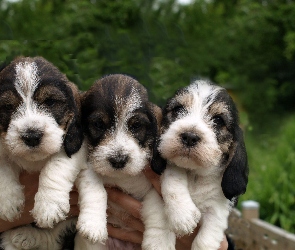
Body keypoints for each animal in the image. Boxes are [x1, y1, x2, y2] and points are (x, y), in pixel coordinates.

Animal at [0, 56, 85, 248]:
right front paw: (7, 201)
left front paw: (49, 206)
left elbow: (56, 165)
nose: (31, 136)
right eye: (8, 107)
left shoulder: (75, 146)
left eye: (50, 102)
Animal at [75, 74, 177, 250]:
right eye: (99, 124)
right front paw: (93, 224)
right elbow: (95, 188)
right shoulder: (87, 168)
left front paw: (159, 241)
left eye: (136, 125)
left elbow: (158, 207)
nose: (118, 160)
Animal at [155, 80, 250, 250]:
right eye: (178, 109)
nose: (189, 136)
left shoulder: (219, 207)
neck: (196, 174)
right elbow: (173, 176)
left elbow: (207, 237)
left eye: (218, 120)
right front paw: (183, 215)